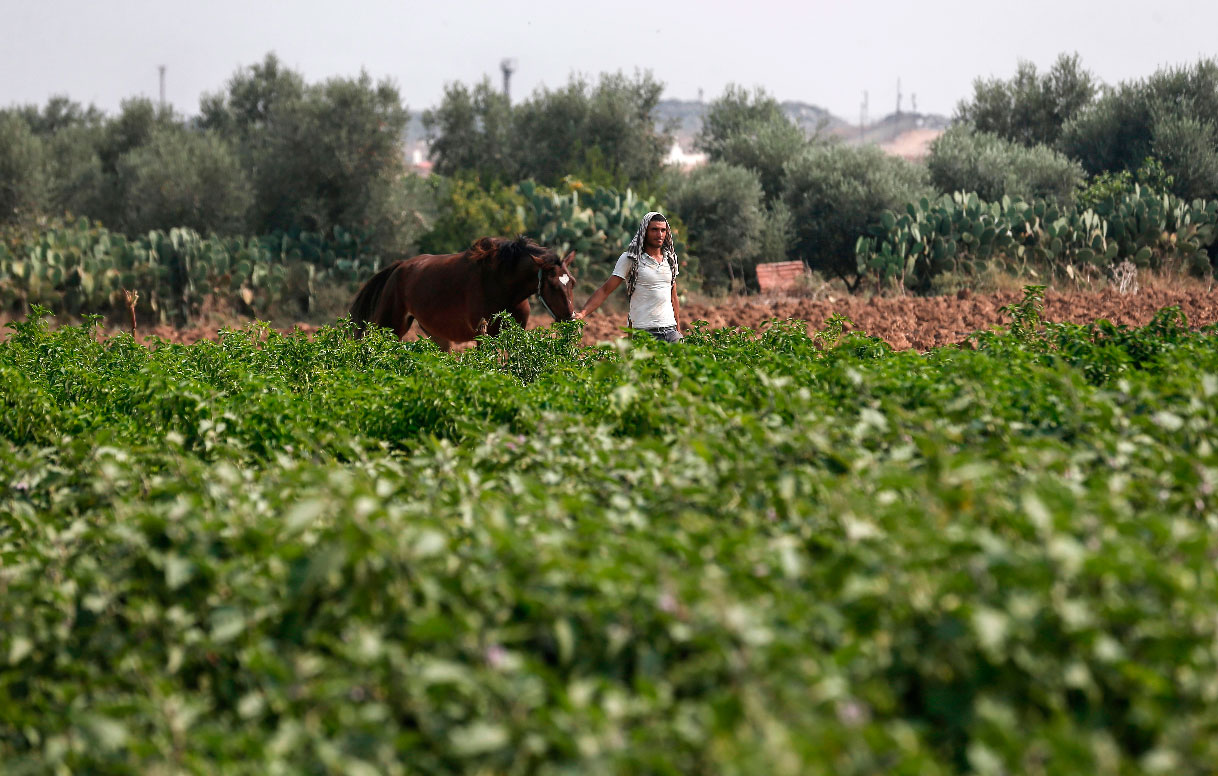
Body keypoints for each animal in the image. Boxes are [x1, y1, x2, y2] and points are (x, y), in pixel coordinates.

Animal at [350, 232, 577, 348]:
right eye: (553, 285)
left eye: (572, 282)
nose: (570, 319)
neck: (501, 282)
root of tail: (399, 267)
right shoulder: (484, 334)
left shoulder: (514, 332)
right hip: (389, 326)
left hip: (436, 335)